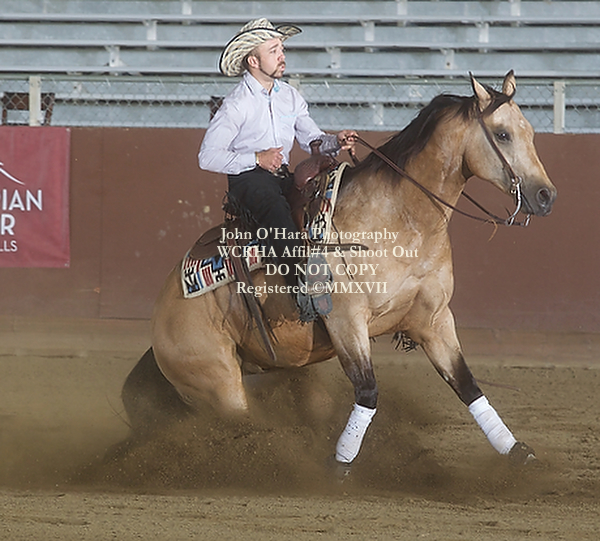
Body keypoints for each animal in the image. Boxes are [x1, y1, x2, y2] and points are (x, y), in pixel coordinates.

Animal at [122, 71, 557, 474]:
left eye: (530, 132)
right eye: (502, 134)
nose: (546, 196)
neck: (399, 219)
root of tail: (162, 317)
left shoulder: (433, 319)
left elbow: (467, 385)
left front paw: (518, 453)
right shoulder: (347, 321)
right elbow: (367, 391)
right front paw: (340, 465)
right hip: (220, 385)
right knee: (240, 423)